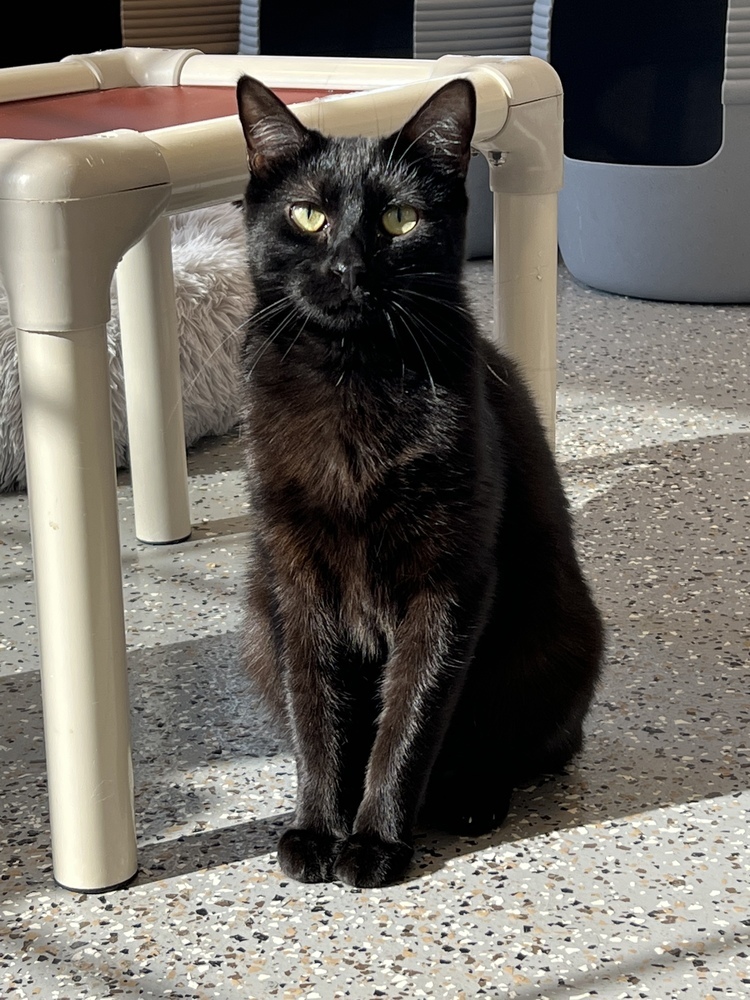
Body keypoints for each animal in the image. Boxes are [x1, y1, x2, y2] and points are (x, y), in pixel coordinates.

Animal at [236, 80, 604, 892]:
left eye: (398, 219)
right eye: (307, 215)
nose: (347, 267)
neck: (355, 378)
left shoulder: (449, 583)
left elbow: (410, 717)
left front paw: (375, 841)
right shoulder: (296, 578)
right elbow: (318, 713)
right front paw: (318, 828)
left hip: (554, 640)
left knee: (525, 746)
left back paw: (469, 797)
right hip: (257, 626)